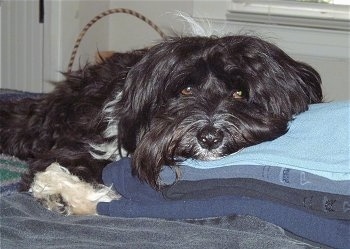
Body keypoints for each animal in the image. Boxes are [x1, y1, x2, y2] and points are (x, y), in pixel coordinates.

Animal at [0, 34, 322, 214]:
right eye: (186, 90)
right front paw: (72, 196)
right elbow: (53, 170)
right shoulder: (81, 146)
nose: (209, 137)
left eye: (240, 93)